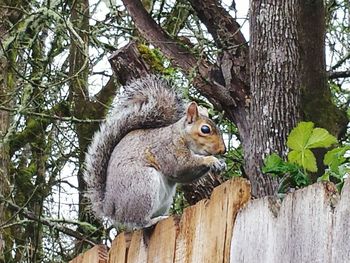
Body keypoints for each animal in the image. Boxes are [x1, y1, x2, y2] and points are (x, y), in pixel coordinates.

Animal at [85, 75, 227, 230]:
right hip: (143, 185)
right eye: (205, 129)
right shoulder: (167, 149)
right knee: (137, 222)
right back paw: (152, 221)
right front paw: (211, 160)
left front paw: (221, 163)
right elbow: (181, 167)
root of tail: (110, 208)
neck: (180, 134)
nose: (223, 150)